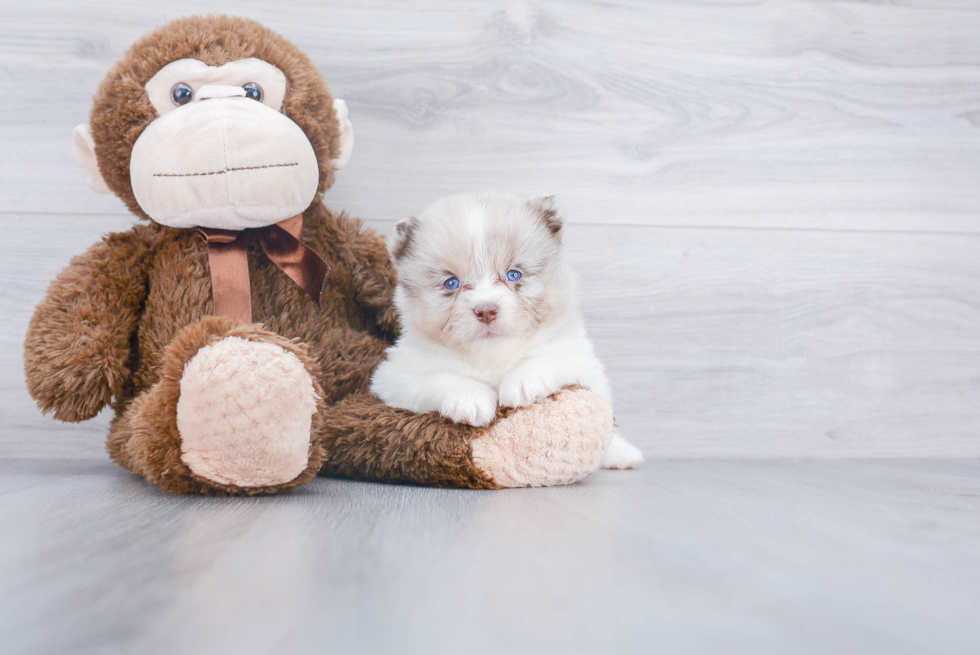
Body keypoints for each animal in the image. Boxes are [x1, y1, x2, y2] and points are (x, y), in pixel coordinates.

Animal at [370, 192, 644, 468]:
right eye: (452, 283)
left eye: (514, 274)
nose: (486, 310)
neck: (493, 358)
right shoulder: (394, 377)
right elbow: (440, 377)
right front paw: (469, 398)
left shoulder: (580, 359)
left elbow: (549, 357)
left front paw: (523, 382)